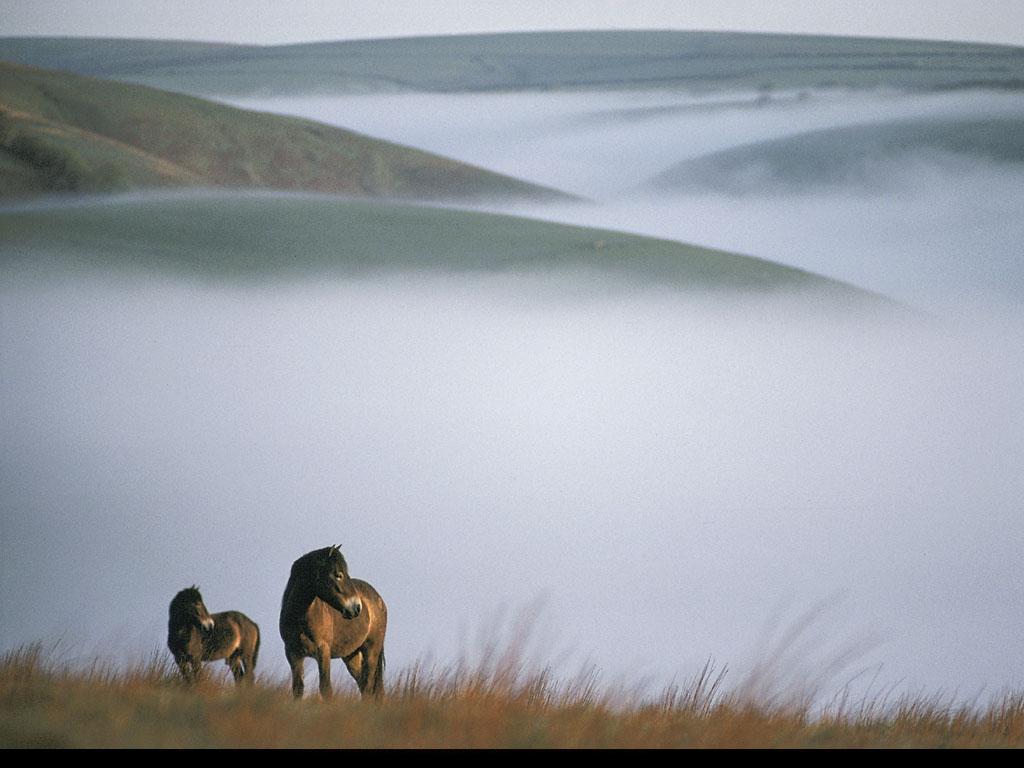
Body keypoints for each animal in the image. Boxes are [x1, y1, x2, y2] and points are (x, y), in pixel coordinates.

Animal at [280, 544, 387, 700]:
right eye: (338, 574)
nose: (357, 608)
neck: (300, 618)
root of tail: (380, 600)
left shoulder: (323, 651)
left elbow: (326, 689)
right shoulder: (293, 654)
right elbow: (298, 689)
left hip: (371, 651)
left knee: (368, 686)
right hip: (351, 656)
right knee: (362, 684)